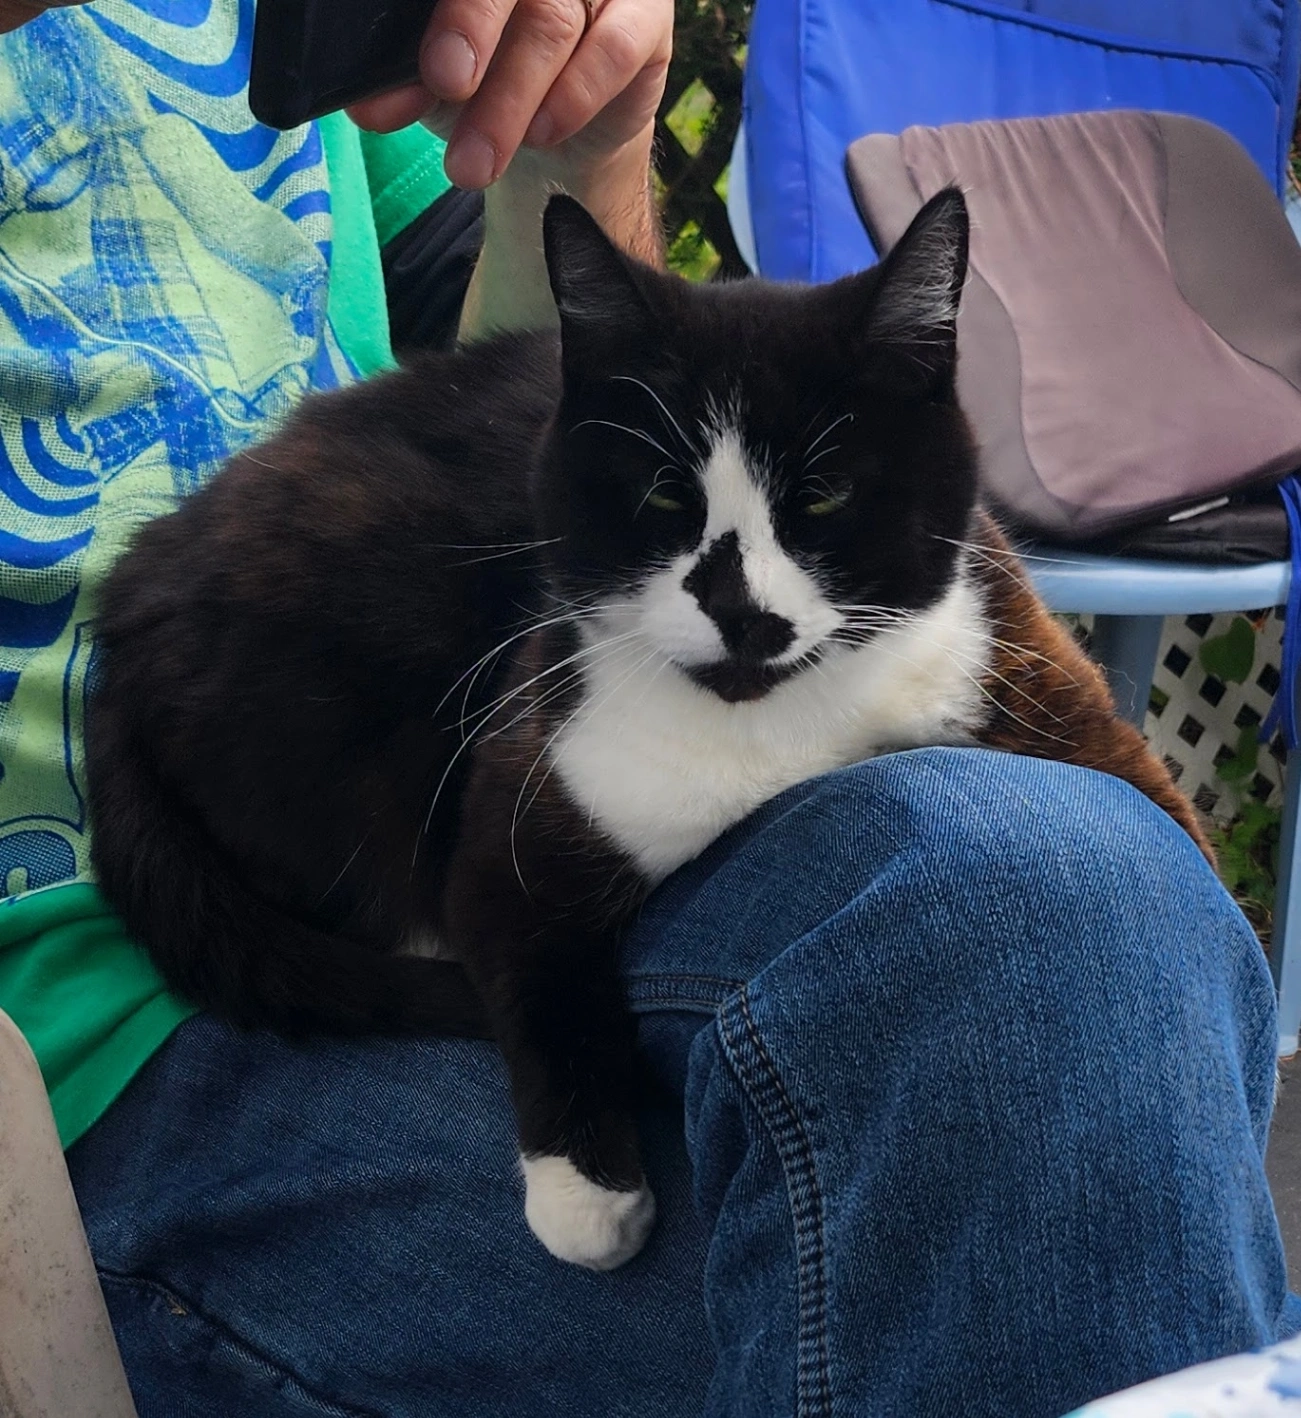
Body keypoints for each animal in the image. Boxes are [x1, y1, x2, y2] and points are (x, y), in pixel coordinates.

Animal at [86, 189, 1210, 1272]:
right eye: (666, 490)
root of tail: (129, 593)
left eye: (824, 495)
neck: (774, 727)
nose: (741, 611)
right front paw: (587, 1193)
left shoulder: (1019, 667)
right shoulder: (527, 778)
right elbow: (521, 951)